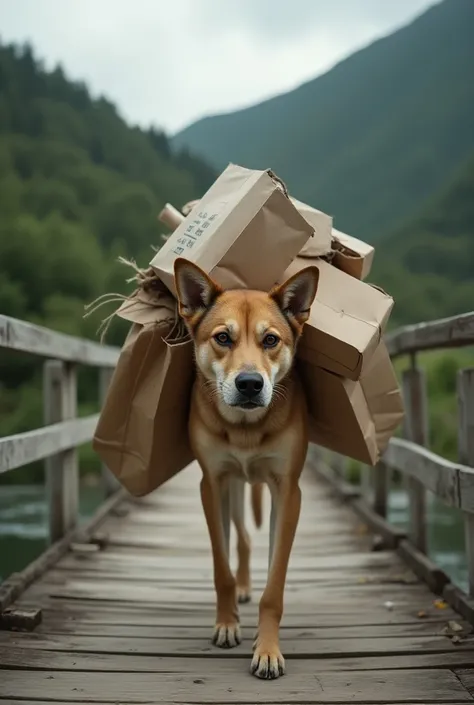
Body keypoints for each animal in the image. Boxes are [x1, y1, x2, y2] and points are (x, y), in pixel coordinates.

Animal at [173, 258, 318, 676]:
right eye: (223, 338)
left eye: (270, 340)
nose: (250, 383)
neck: (245, 430)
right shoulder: (213, 483)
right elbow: (221, 567)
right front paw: (226, 624)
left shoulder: (288, 490)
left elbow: (275, 585)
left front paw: (267, 649)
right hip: (235, 488)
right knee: (242, 538)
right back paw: (240, 590)